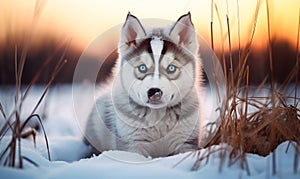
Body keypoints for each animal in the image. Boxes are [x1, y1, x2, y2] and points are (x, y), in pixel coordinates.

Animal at [83, 12, 203, 157]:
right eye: (142, 68)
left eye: (171, 68)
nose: (154, 91)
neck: (158, 117)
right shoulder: (133, 144)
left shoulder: (185, 142)